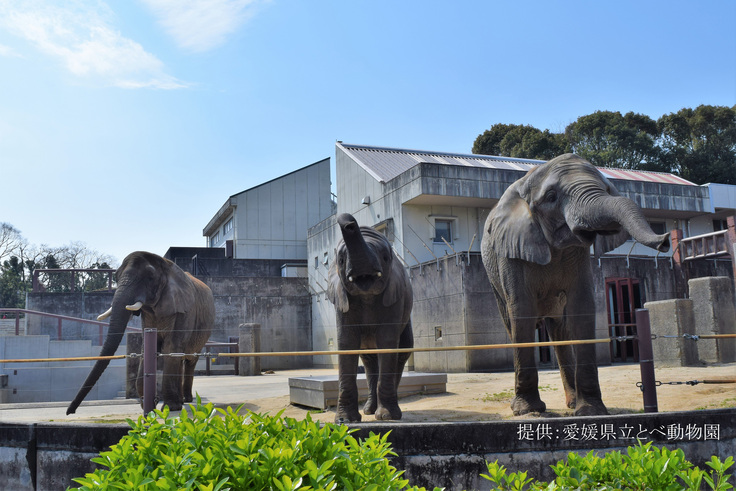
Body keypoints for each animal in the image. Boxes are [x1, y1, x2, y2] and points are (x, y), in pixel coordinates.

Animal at [67, 251, 215, 414]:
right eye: (116, 276)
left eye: (150, 277)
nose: (70, 412)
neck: (165, 264)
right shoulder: (148, 315)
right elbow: (147, 347)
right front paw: (148, 406)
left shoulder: (184, 310)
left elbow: (171, 347)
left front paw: (170, 407)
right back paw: (182, 401)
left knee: (189, 359)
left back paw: (186, 400)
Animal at [327, 213, 414, 422]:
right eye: (341, 260)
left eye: (385, 257)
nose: (349, 222)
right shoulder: (342, 299)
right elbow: (347, 342)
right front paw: (345, 421)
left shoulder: (394, 296)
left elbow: (387, 341)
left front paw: (387, 417)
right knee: (368, 359)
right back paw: (368, 410)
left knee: (402, 351)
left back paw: (386, 411)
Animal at [481, 154, 670, 416]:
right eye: (551, 197)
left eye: (607, 190)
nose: (666, 240)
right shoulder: (510, 252)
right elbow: (521, 309)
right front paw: (527, 411)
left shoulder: (578, 255)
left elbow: (583, 305)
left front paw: (591, 410)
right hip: (493, 279)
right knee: (512, 322)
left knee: (559, 330)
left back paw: (571, 403)